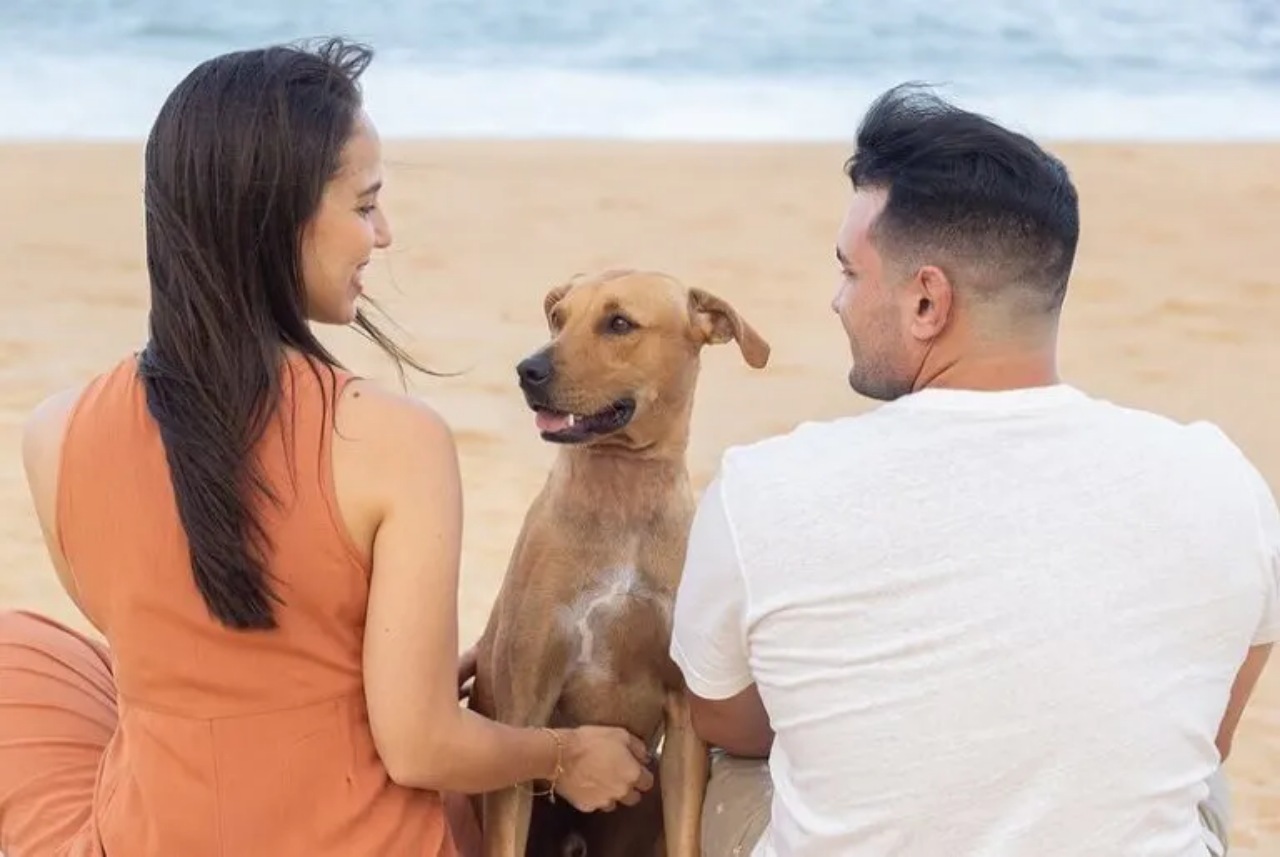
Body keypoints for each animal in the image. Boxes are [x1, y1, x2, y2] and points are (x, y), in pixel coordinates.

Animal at [471, 269, 768, 857]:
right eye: (558, 318)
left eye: (619, 323)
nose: (527, 370)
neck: (622, 493)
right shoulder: (524, 713)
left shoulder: (685, 725)